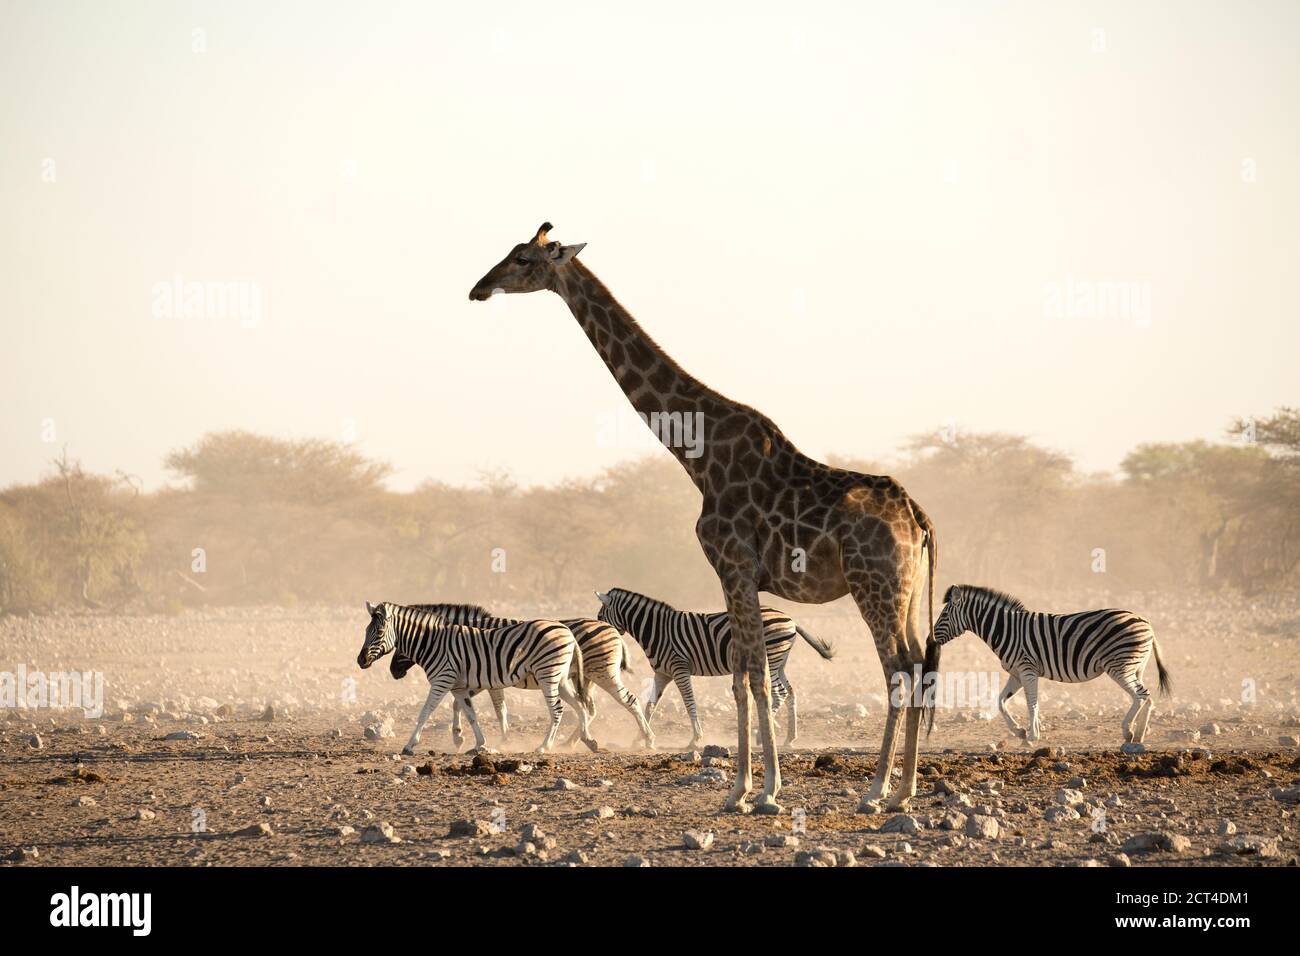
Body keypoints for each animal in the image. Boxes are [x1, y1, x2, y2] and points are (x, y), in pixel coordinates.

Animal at [357, 601, 594, 755]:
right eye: (366, 630)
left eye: (379, 634)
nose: (360, 661)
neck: (434, 642)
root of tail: (567, 631)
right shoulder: (459, 686)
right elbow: (471, 713)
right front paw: (479, 743)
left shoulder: (443, 680)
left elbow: (426, 711)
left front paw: (409, 745)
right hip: (560, 679)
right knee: (580, 705)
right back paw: (588, 739)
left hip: (548, 675)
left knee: (558, 710)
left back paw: (545, 746)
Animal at [391, 603, 655, 749]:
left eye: (401, 648)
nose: (393, 672)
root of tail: (613, 630)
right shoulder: (480, 676)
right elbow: (467, 704)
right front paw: (465, 736)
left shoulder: (485, 676)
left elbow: (490, 707)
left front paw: (463, 737)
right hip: (585, 678)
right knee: (588, 708)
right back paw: (576, 741)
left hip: (602, 673)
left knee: (625, 701)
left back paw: (645, 738)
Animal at [594, 587, 834, 747]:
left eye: (599, 615)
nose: (601, 634)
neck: (656, 631)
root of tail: (790, 619)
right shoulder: (662, 673)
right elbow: (650, 705)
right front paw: (641, 738)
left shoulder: (679, 668)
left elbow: (689, 703)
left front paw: (695, 739)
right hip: (780, 662)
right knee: (791, 692)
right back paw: (789, 738)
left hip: (771, 658)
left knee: (780, 693)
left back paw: (761, 735)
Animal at [931, 585, 1171, 745]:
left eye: (944, 614)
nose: (931, 638)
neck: (1005, 629)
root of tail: (1146, 622)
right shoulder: (1016, 673)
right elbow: (1001, 701)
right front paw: (1020, 732)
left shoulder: (1027, 669)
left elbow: (1031, 703)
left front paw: (1031, 736)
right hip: (1135, 667)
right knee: (1147, 697)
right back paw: (1138, 736)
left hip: (1119, 666)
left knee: (1141, 695)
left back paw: (1127, 732)